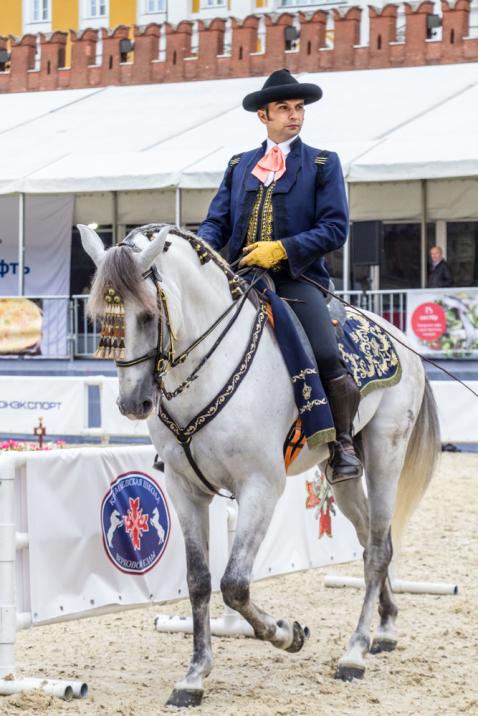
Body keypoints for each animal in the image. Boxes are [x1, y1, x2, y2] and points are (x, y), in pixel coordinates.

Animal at [79, 224, 440, 712]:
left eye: (150, 315)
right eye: (101, 317)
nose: (134, 404)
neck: (206, 369)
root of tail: (397, 336)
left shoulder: (260, 487)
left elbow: (234, 583)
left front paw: (288, 634)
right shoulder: (184, 490)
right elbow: (199, 581)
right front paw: (194, 676)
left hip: (386, 454)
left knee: (379, 549)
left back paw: (355, 651)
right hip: (343, 476)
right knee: (370, 541)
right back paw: (385, 627)